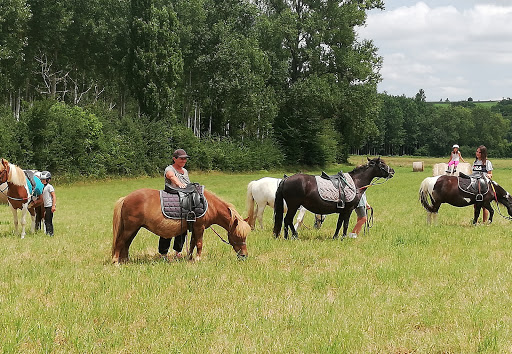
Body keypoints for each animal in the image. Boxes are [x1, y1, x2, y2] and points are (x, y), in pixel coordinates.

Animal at [112, 188, 250, 262]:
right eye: (238, 236)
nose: (244, 255)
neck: (210, 205)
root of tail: (126, 198)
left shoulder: (194, 228)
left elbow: (192, 243)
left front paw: (189, 258)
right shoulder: (199, 227)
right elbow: (199, 243)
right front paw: (198, 259)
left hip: (133, 229)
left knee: (126, 243)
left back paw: (125, 261)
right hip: (130, 228)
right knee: (120, 242)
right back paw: (116, 262)